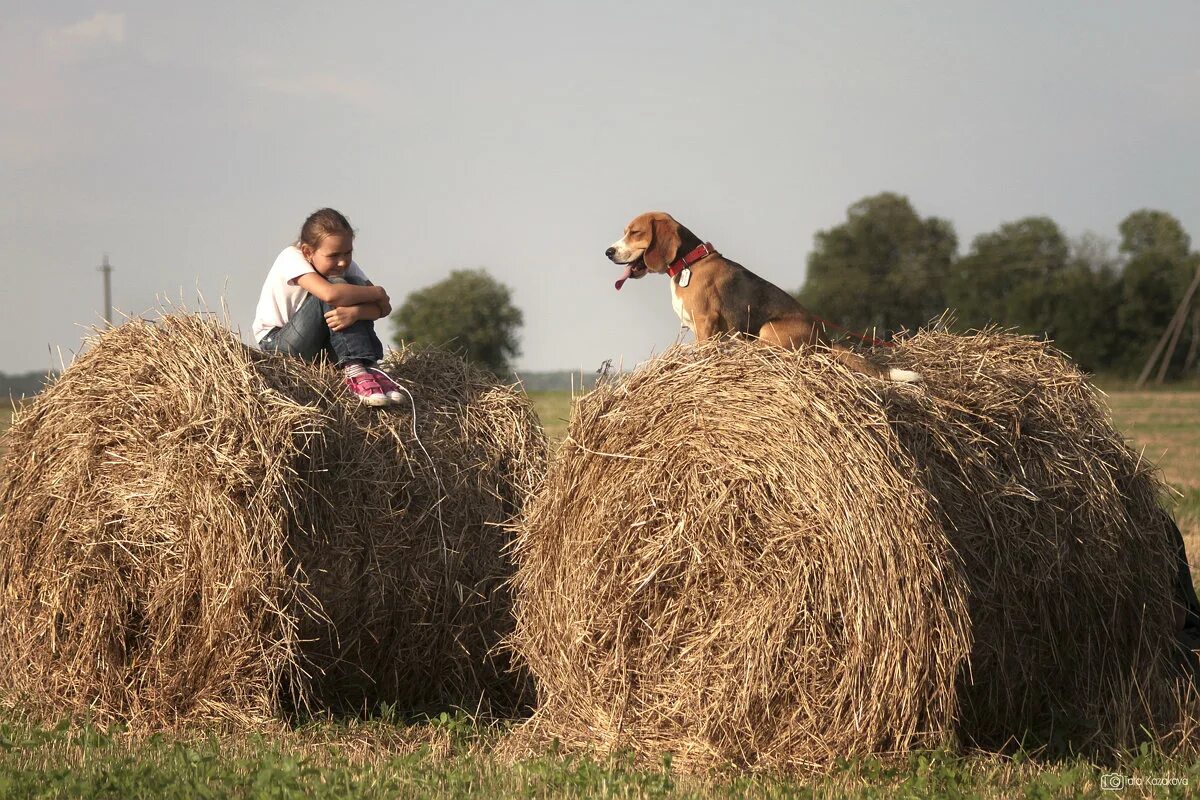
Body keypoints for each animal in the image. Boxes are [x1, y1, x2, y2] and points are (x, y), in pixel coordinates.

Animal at [604, 211, 921, 383]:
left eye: (635, 232)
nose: (608, 252)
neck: (688, 262)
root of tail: (824, 339)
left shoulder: (705, 322)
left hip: (768, 330)